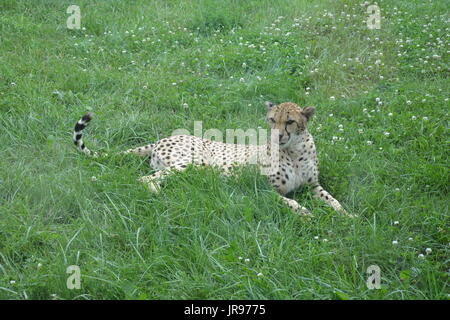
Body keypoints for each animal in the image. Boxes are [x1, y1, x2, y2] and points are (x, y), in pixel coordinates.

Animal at [73, 102, 348, 218]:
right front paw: (305, 213)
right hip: (189, 164)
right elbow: (289, 202)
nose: (277, 135)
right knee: (145, 179)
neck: (293, 151)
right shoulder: (261, 190)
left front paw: (349, 216)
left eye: (290, 121)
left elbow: (332, 200)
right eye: (272, 120)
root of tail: (164, 138)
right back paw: (160, 197)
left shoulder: (313, 186)